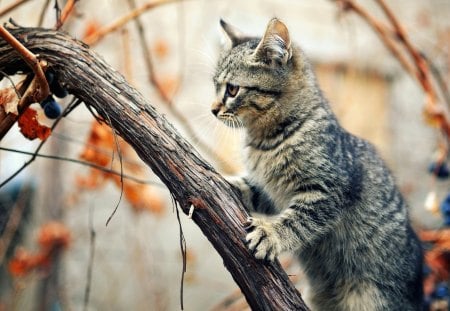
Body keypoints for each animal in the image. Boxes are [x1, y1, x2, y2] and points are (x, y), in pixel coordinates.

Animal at [211, 18, 422, 310]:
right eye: (215, 86)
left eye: (232, 89)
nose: (212, 109)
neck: (265, 140)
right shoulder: (271, 191)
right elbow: (253, 188)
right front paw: (229, 183)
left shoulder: (328, 190)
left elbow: (298, 219)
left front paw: (271, 234)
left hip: (371, 295)